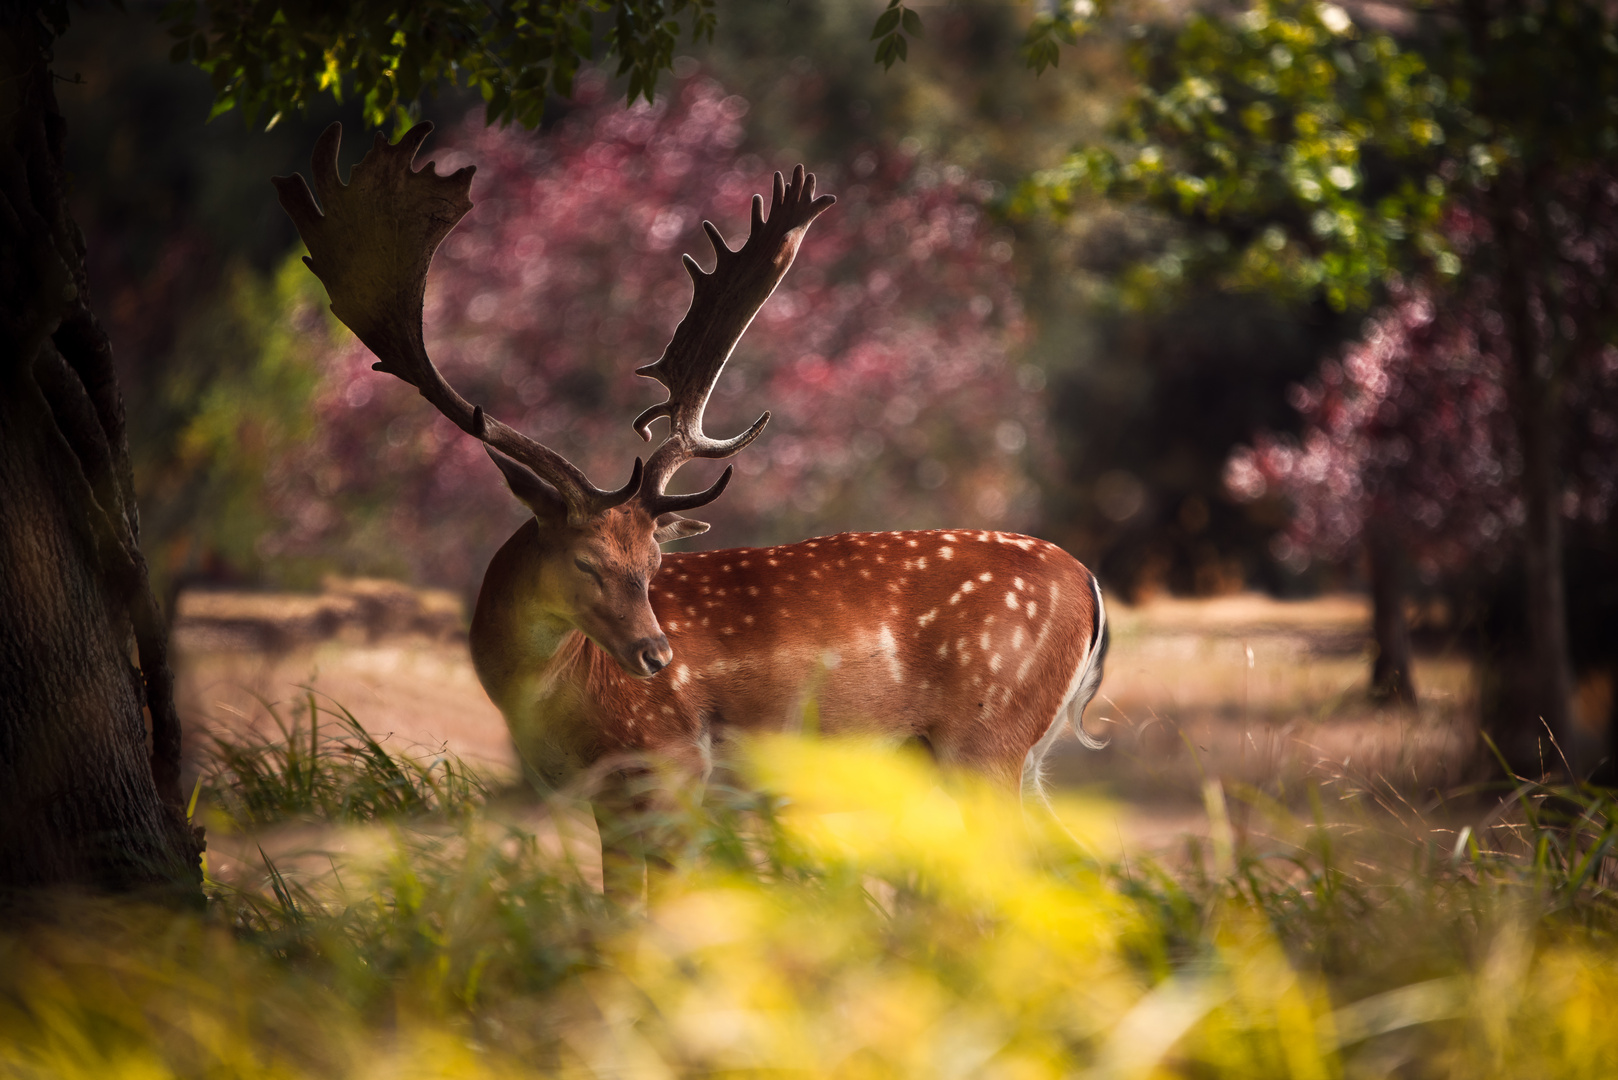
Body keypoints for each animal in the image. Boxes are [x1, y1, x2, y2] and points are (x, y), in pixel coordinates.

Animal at [278, 124, 1113, 887]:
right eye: (585, 559)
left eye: (653, 562)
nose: (658, 656)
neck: (551, 701)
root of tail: (1089, 586)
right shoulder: (615, 801)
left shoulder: (669, 767)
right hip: (1014, 759)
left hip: (986, 738)